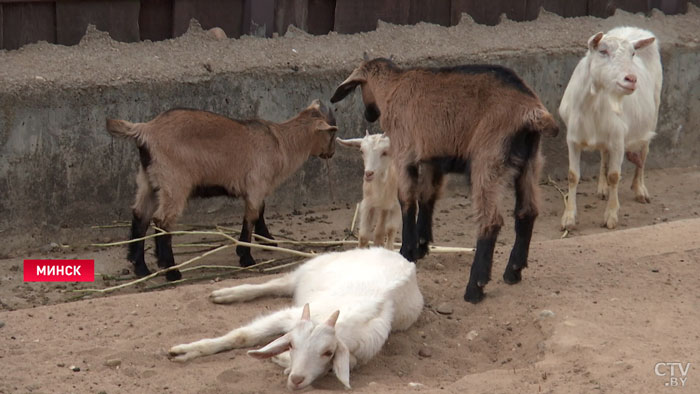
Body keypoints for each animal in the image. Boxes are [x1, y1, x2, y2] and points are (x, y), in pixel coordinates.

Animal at [105, 101, 338, 280]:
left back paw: (141, 268)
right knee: (162, 221)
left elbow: (260, 212)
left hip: (149, 180)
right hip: (174, 183)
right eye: (332, 134)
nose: (332, 153)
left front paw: (268, 241)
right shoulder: (256, 184)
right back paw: (172, 271)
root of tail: (145, 129)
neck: (280, 142)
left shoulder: (256, 189)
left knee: (140, 215)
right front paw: (246, 257)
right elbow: (251, 217)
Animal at [332, 58, 556, 304]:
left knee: (491, 221)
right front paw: (421, 246)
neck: (393, 85)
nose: (368, 114)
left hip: (489, 159)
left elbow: (407, 200)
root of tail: (532, 111)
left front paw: (407, 251)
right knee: (527, 211)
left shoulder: (403, 151)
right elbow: (427, 197)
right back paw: (513, 271)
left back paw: (475, 288)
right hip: (530, 162)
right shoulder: (433, 158)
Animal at [556, 26, 660, 229]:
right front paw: (569, 217)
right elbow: (573, 175)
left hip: (652, 116)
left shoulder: (618, 139)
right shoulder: (572, 138)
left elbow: (615, 176)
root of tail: (633, 28)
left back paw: (640, 189)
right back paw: (602, 188)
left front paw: (611, 216)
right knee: (604, 153)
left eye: (633, 54)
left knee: (643, 154)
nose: (631, 79)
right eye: (602, 51)